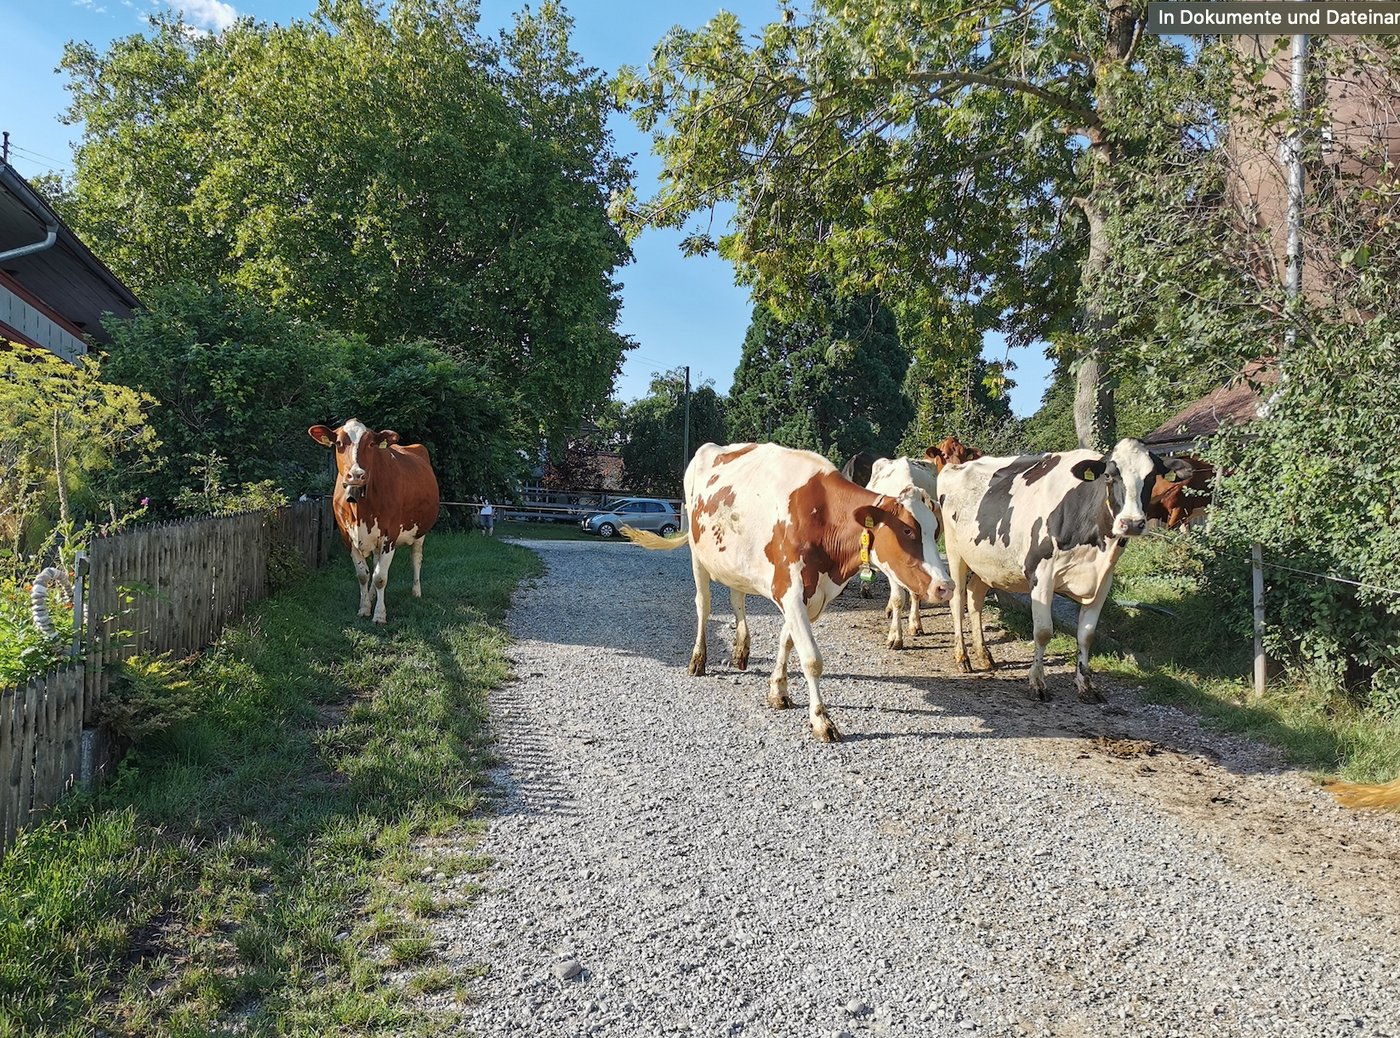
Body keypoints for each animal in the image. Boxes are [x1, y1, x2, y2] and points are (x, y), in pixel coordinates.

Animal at [308, 418, 440, 624]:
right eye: (338, 443)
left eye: (371, 444)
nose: (356, 474)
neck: (360, 508)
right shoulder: (347, 537)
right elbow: (363, 575)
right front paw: (364, 607)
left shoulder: (389, 535)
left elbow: (380, 578)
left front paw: (379, 614)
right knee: (377, 562)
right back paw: (370, 596)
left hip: (420, 531)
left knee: (416, 559)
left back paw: (416, 591)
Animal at [866, 456, 941, 649]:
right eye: (907, 529)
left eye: (934, 527)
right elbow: (898, 598)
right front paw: (895, 636)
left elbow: (915, 591)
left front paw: (915, 624)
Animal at [937, 438, 1194, 702]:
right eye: (1109, 476)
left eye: (1152, 477)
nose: (1131, 523)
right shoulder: (1041, 575)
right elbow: (1042, 632)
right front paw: (1037, 683)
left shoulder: (1103, 580)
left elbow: (1087, 635)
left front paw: (1086, 685)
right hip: (955, 552)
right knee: (957, 600)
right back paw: (962, 658)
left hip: (986, 564)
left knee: (975, 599)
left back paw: (984, 655)